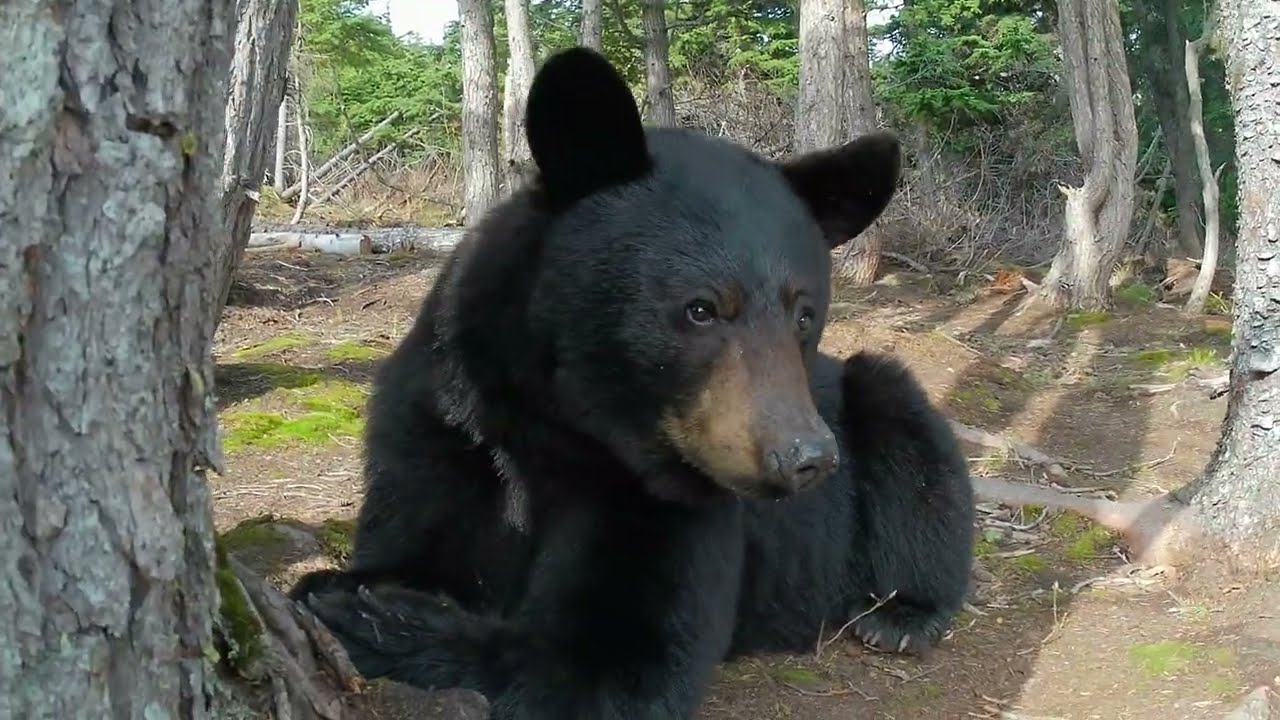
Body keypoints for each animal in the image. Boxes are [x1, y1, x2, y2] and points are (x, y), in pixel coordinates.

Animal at [290, 46, 975, 719]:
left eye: (804, 314)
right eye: (701, 308)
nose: (806, 457)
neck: (557, 426)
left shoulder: (659, 497)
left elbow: (616, 661)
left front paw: (374, 618)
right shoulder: (442, 426)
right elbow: (414, 526)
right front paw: (349, 586)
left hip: (875, 399)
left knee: (917, 459)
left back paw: (903, 613)